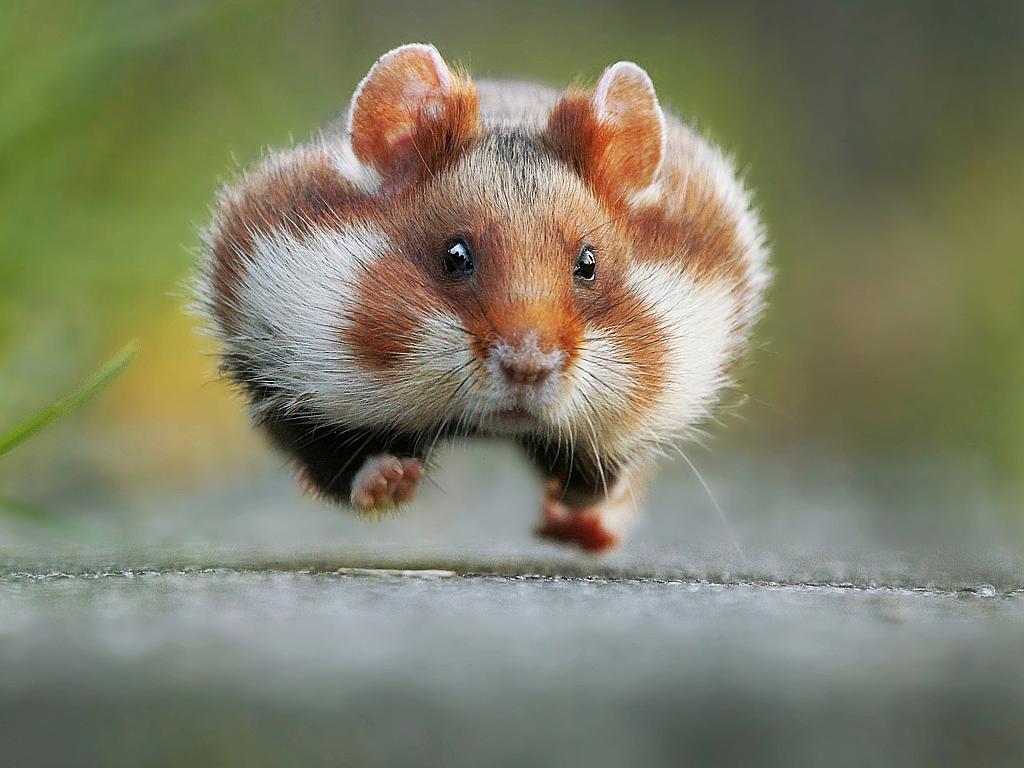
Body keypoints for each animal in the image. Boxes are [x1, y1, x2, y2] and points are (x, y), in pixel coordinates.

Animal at [193, 41, 770, 548]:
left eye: (588, 264)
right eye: (455, 256)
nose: (528, 367)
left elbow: (599, 474)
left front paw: (573, 501)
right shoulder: (285, 375)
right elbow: (338, 464)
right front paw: (393, 481)